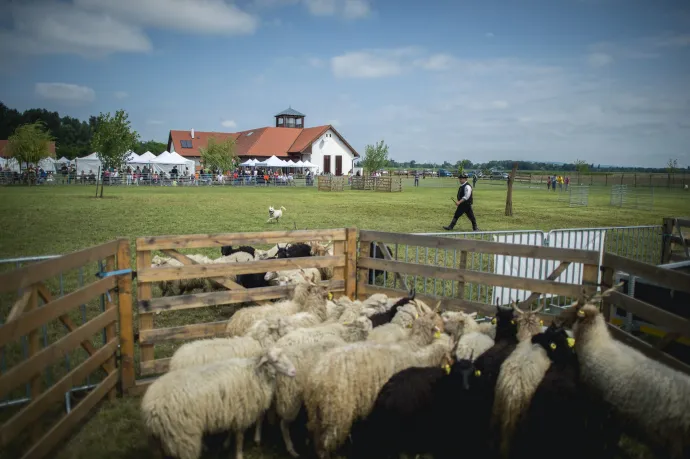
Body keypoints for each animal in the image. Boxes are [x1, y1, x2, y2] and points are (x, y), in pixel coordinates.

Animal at [142, 348, 296, 459]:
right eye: (275, 360)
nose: (294, 371)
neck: (256, 373)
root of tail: (150, 408)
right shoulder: (241, 412)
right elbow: (239, 438)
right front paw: (239, 455)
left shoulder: (231, 410)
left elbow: (231, 431)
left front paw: (226, 444)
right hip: (183, 436)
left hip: (157, 441)